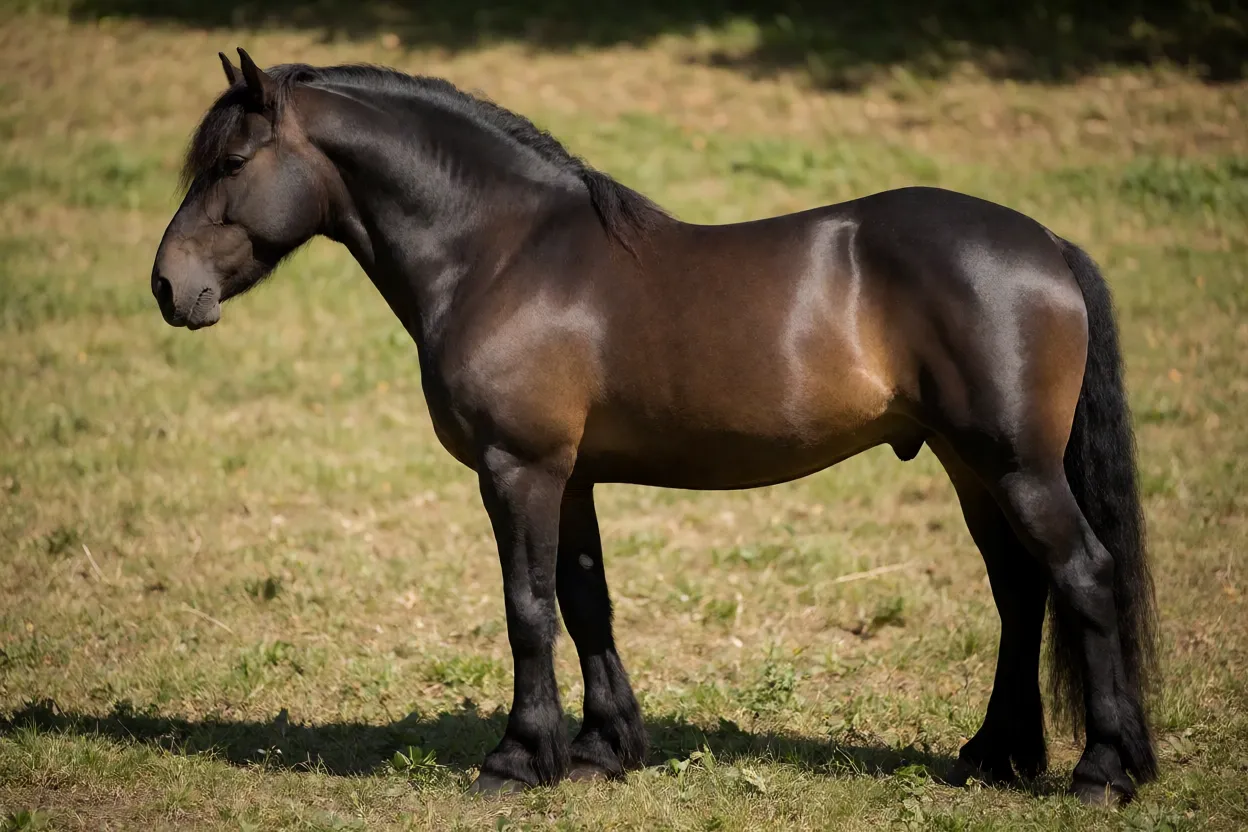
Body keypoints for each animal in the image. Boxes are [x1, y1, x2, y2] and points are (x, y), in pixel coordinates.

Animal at [150, 49, 1159, 804]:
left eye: (230, 164)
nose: (167, 286)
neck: (502, 253)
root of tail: (1047, 246)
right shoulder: (572, 477)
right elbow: (585, 600)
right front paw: (603, 750)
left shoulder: (518, 469)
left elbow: (527, 608)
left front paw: (517, 760)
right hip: (969, 465)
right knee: (1021, 592)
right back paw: (995, 756)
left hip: (1016, 466)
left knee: (1083, 576)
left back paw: (1102, 772)